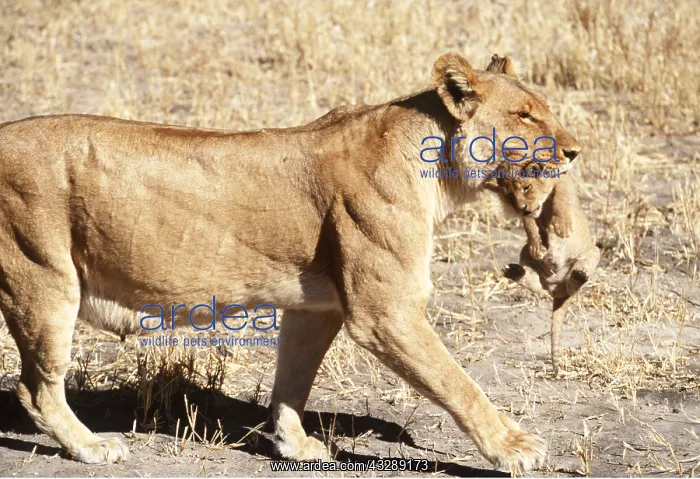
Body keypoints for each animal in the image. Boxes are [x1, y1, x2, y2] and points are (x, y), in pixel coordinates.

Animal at [0, 52, 580, 473]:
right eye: (525, 116)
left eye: (544, 109)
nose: (575, 151)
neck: (435, 165)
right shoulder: (384, 313)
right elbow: (459, 383)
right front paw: (512, 446)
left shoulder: (316, 306)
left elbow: (293, 378)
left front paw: (293, 444)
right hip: (43, 278)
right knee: (36, 386)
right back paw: (90, 446)